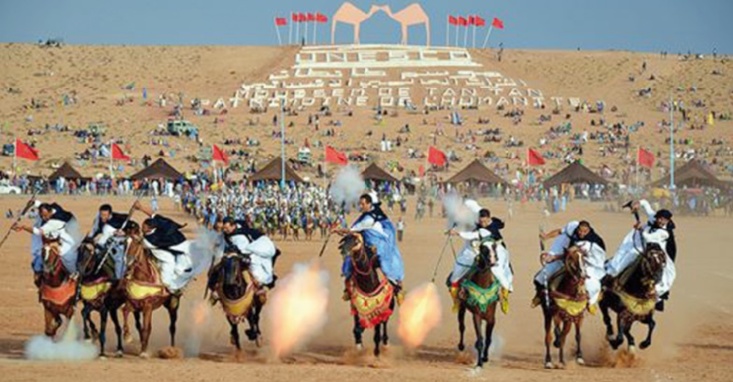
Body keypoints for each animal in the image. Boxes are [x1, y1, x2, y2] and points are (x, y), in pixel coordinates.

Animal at [122, 222, 181, 360]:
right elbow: (125, 311)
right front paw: (127, 337)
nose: (128, 264)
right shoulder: (133, 303)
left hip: (172, 306)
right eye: (124, 243)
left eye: (137, 242)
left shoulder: (148, 307)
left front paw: (144, 352)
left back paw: (172, 349)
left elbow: (146, 329)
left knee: (172, 327)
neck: (143, 277)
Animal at [454, 239, 500, 368]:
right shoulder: (476, 315)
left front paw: (485, 357)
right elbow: (480, 340)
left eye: (494, 246)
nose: (492, 259)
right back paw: (461, 346)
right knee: (461, 326)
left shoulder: (491, 317)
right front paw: (479, 363)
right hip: (462, 307)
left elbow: (488, 339)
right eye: (483, 248)